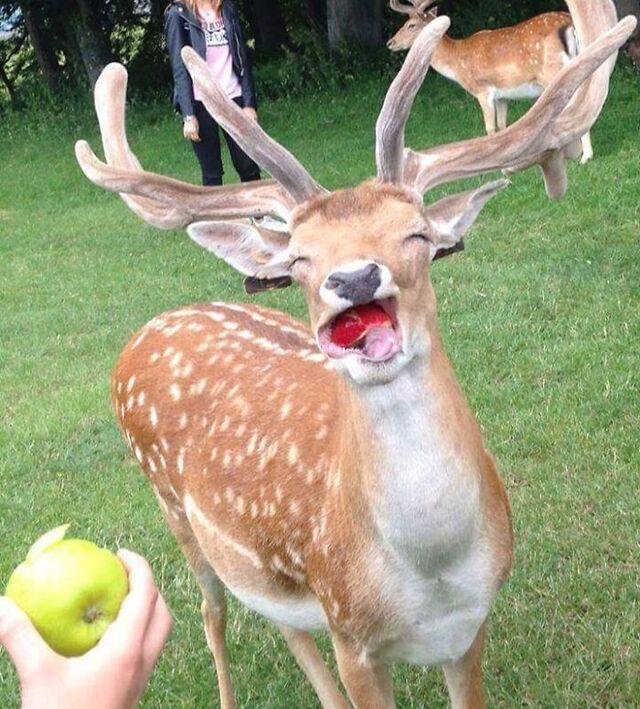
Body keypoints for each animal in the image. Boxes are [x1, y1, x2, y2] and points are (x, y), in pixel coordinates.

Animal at [387, 1, 596, 164]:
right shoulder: (502, 95)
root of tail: (570, 24)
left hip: (553, 72)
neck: (456, 63)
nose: (390, 43)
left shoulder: (483, 90)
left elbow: (490, 127)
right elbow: (503, 126)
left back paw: (585, 156)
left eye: (411, 25)